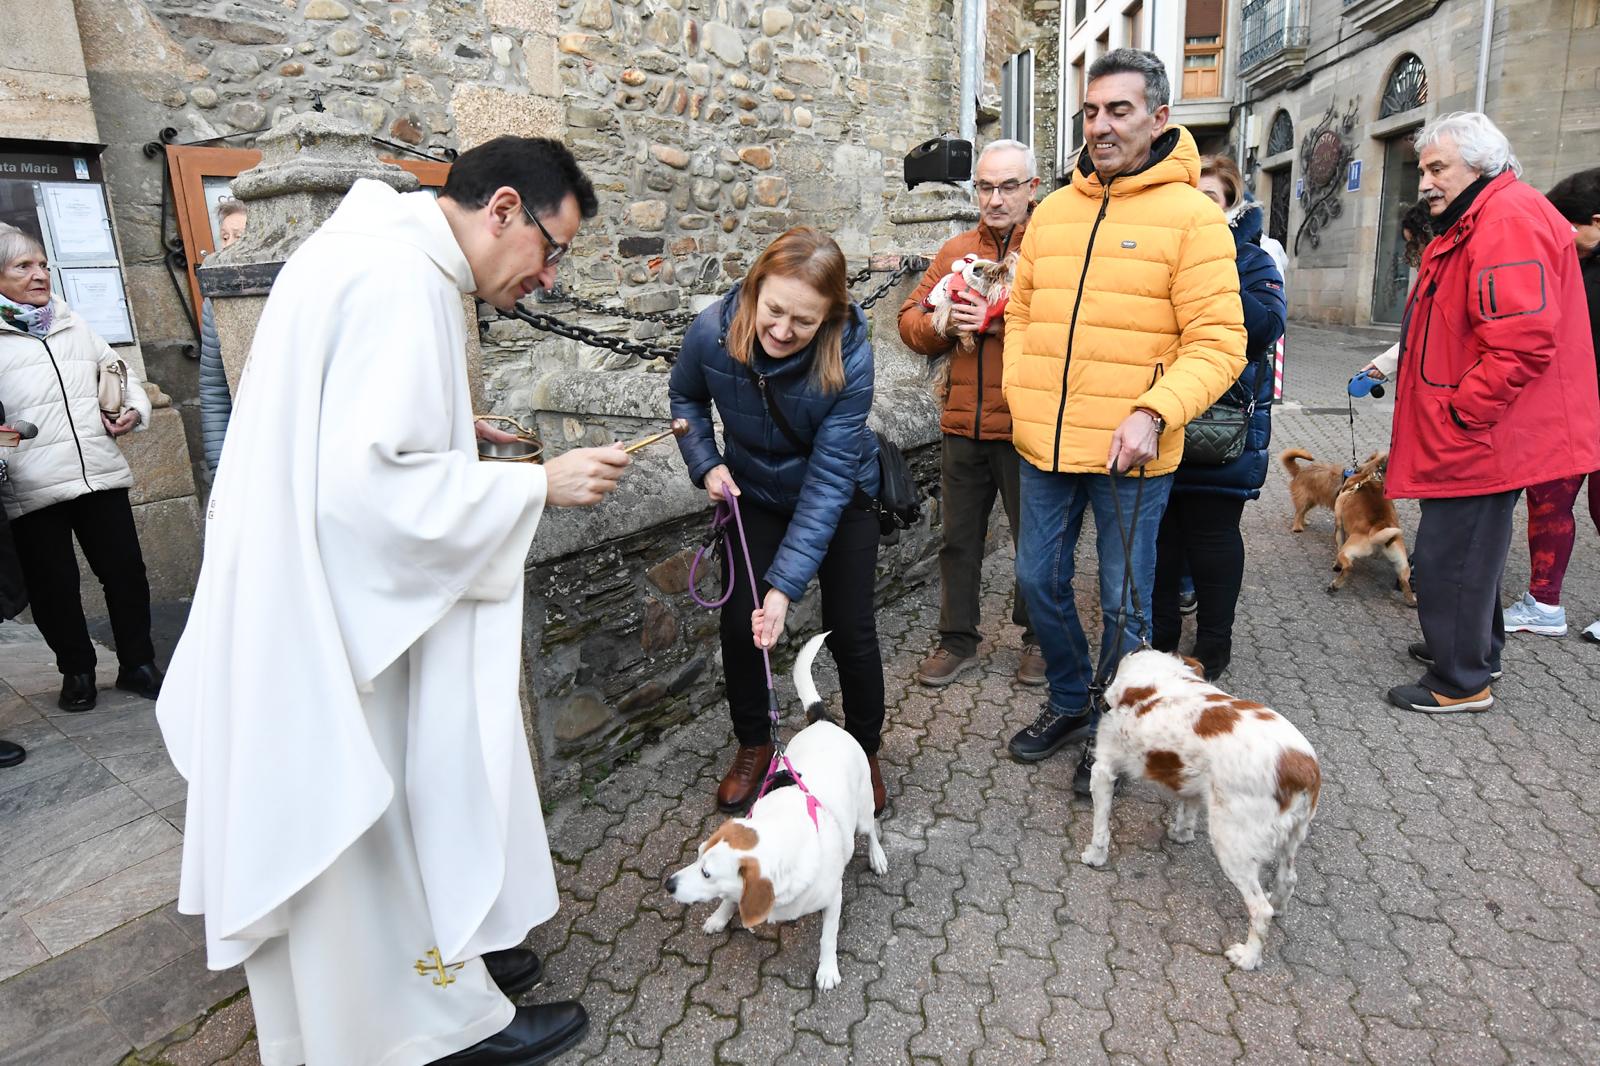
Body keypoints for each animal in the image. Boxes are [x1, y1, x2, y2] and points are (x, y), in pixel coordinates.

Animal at [662, 630, 889, 985]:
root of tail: (823, 720)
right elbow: (730, 899)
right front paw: (720, 915)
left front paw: (827, 969)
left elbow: (828, 937)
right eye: (697, 856)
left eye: (707, 873)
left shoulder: (833, 898)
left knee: (872, 831)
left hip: (864, 811)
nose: (669, 885)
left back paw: (877, 857)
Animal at [1075, 643, 1324, 966]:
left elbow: (1100, 828)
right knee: (1288, 879)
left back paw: (1247, 957)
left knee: (1260, 910)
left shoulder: (1103, 770)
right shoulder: (1192, 776)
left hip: (1232, 842)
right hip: (1291, 837)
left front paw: (1095, 856)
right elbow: (1187, 806)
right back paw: (1279, 906)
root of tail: (1303, 767)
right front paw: (1181, 834)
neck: (1155, 675)